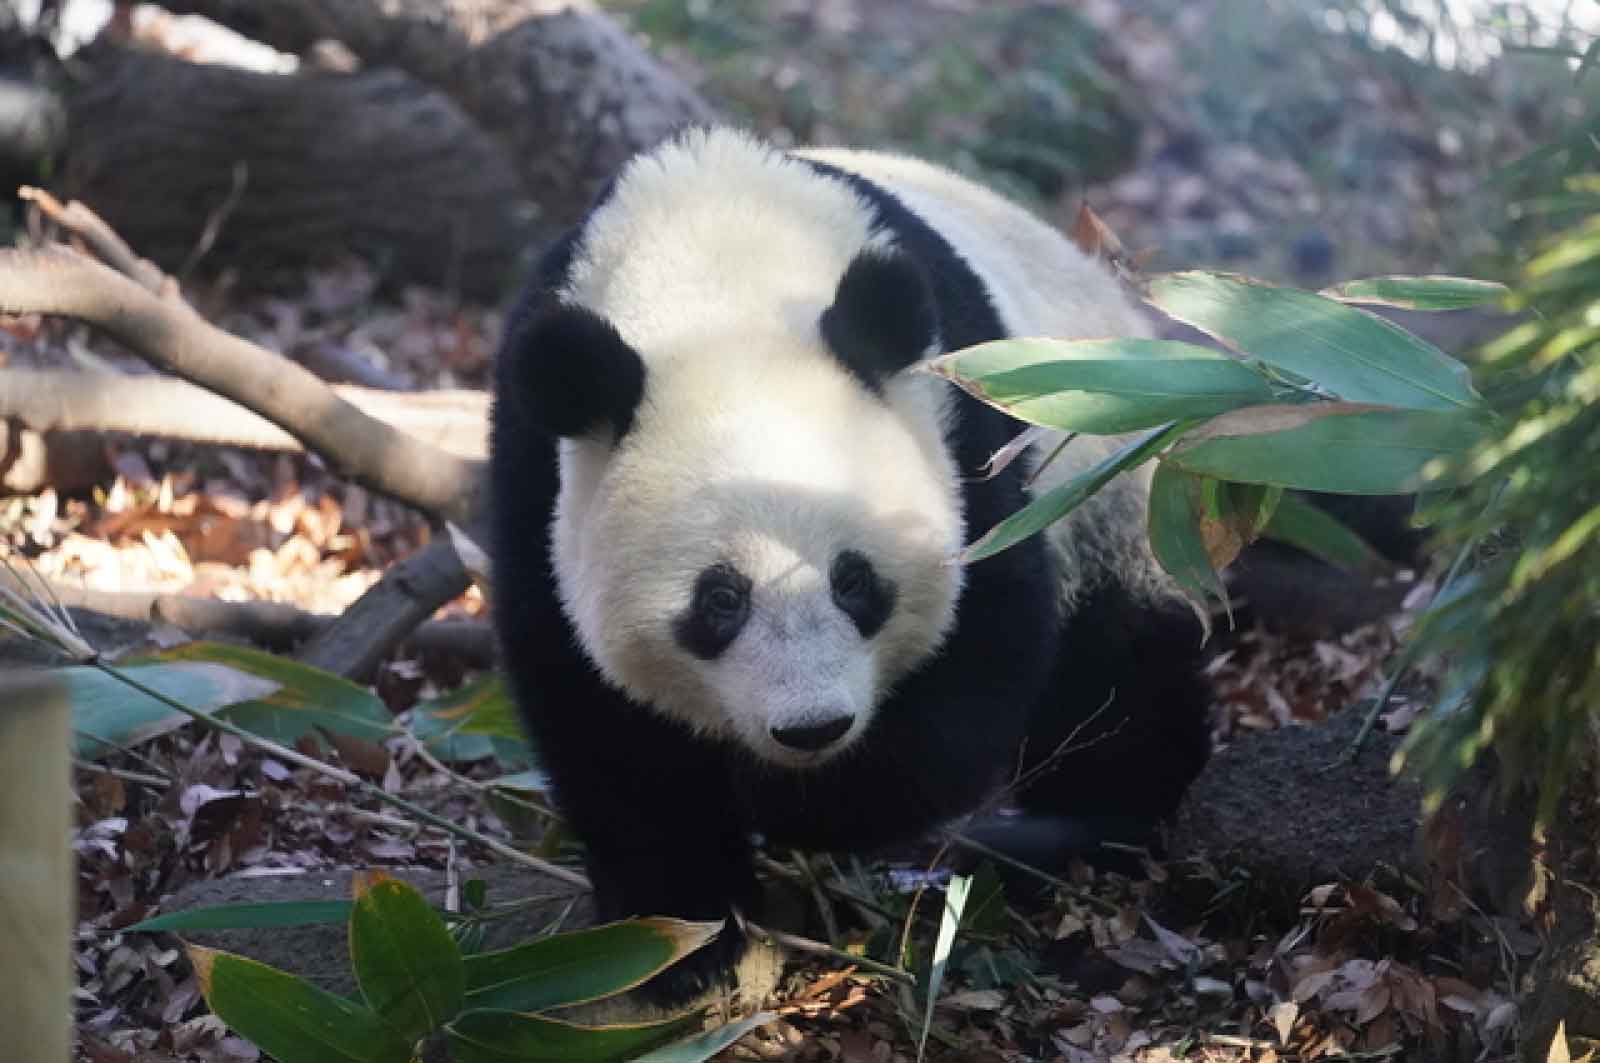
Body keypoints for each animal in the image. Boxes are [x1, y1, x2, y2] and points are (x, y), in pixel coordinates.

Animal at [486, 128, 1209, 998]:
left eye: (854, 580)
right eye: (720, 599)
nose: (812, 727)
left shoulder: (965, 426)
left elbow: (978, 661)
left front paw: (791, 800)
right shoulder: (538, 474)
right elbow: (597, 715)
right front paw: (683, 934)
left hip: (1109, 473)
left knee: (1117, 657)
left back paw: (1075, 825)